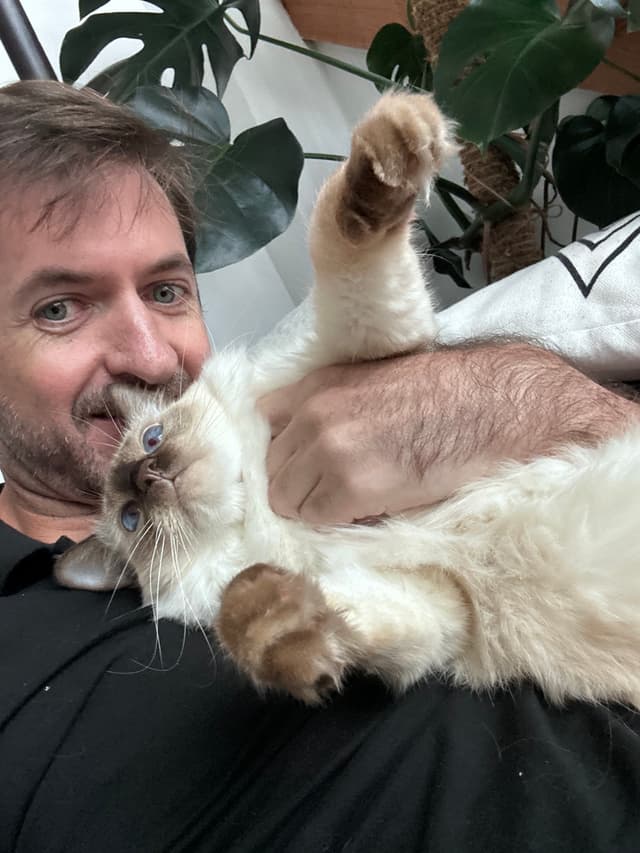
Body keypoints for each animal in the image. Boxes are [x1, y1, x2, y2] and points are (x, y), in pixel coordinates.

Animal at [56, 91, 640, 704]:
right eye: (131, 519)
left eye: (152, 438)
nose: (149, 477)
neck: (256, 507)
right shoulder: (440, 605)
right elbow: (309, 622)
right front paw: (271, 620)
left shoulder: (360, 342)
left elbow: (341, 239)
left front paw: (393, 143)